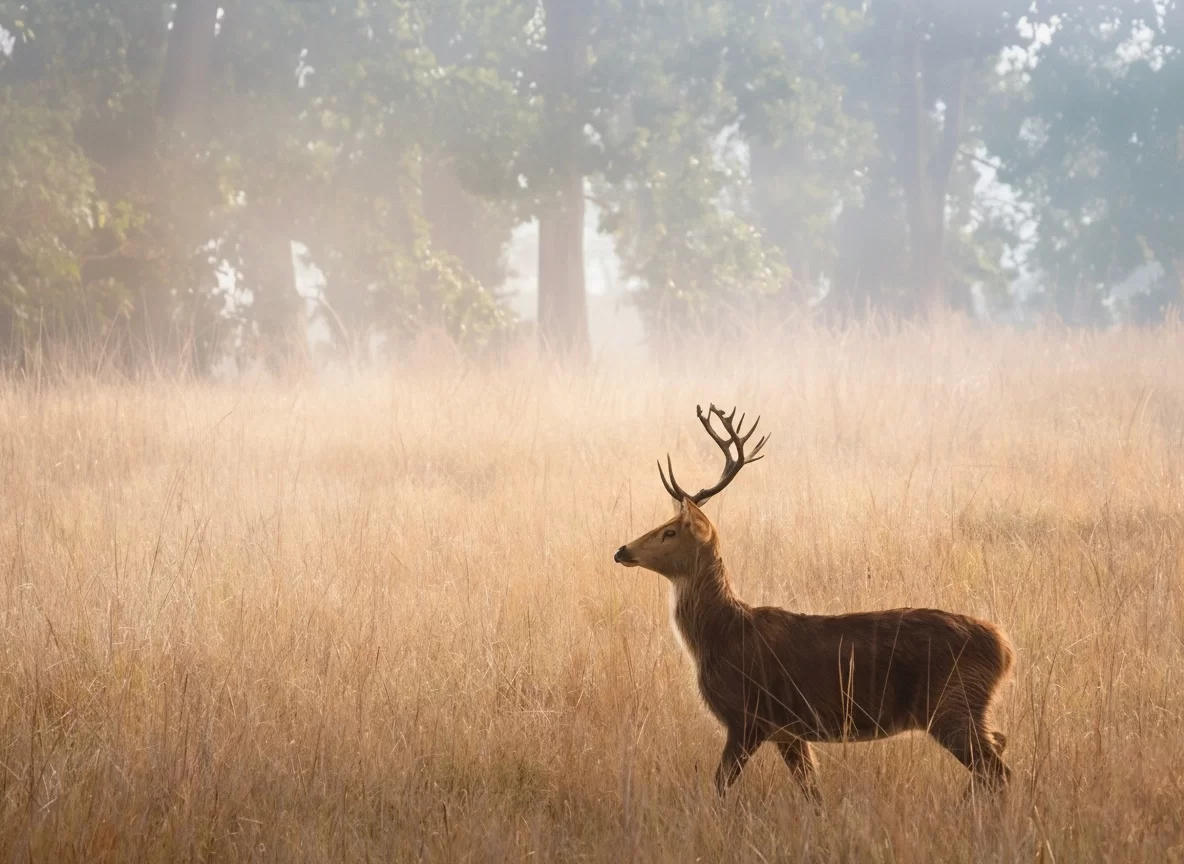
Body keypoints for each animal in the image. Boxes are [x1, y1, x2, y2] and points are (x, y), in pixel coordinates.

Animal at [613, 404, 1014, 803]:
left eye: (669, 531)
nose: (622, 550)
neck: (720, 636)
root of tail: (1005, 648)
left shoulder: (751, 717)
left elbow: (721, 787)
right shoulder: (789, 731)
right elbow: (811, 791)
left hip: (952, 704)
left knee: (998, 769)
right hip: (964, 707)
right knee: (999, 746)